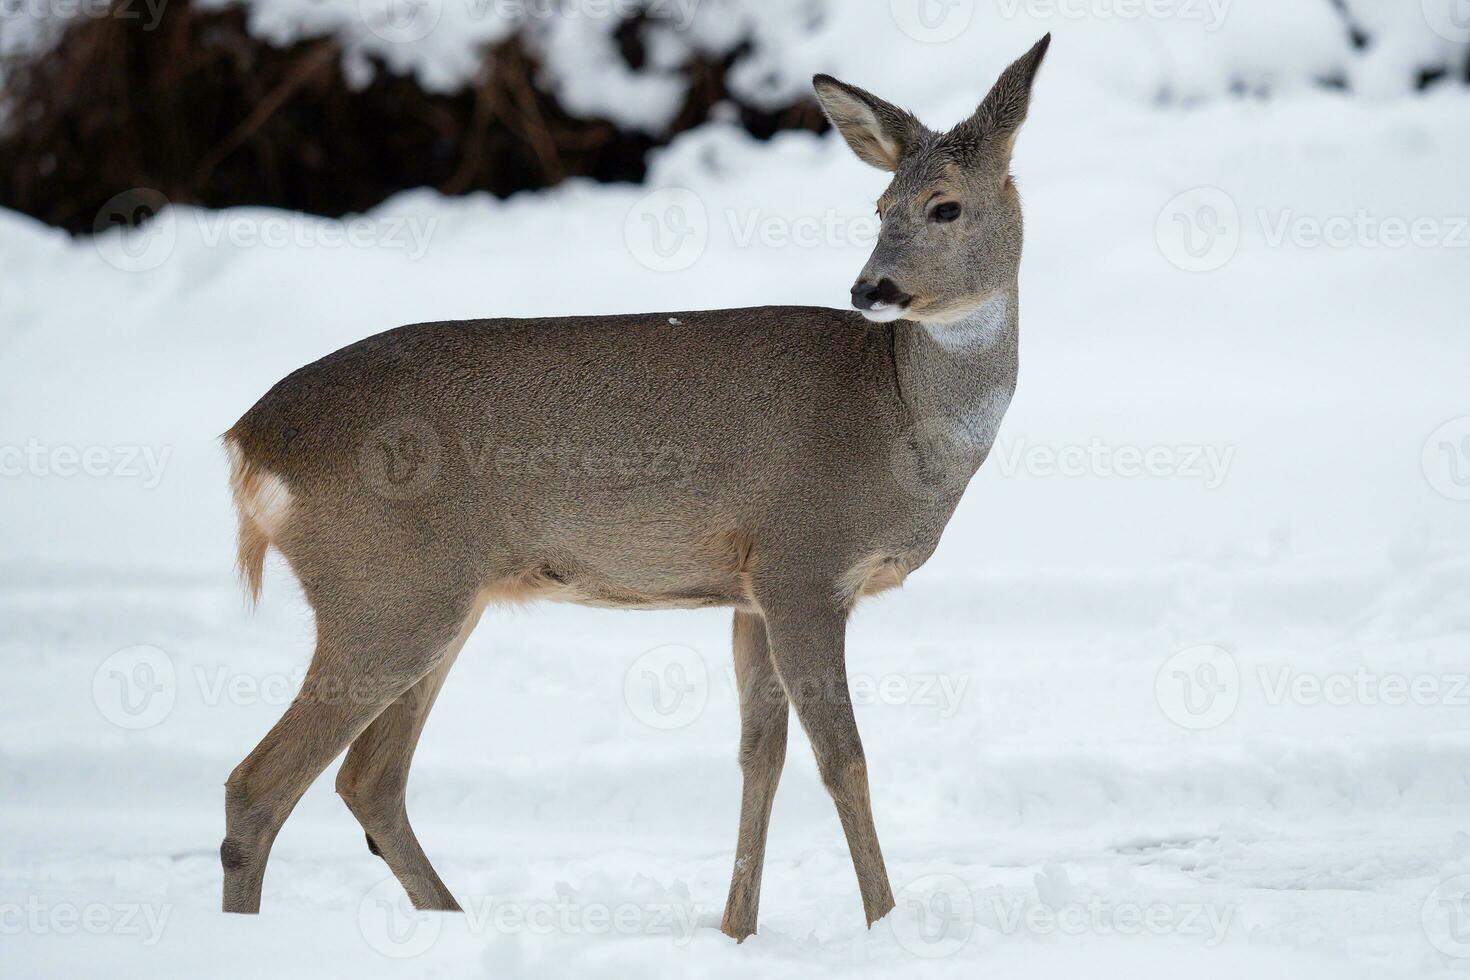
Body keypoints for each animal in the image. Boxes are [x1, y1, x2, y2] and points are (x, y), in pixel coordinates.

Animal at [217, 36, 1052, 940]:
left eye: (944, 207)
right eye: (880, 206)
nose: (871, 289)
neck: (899, 413)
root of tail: (248, 439)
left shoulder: (750, 588)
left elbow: (761, 755)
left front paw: (736, 931)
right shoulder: (803, 561)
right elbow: (844, 759)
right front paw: (884, 926)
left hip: (435, 597)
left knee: (367, 779)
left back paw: (454, 922)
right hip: (385, 589)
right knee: (260, 784)